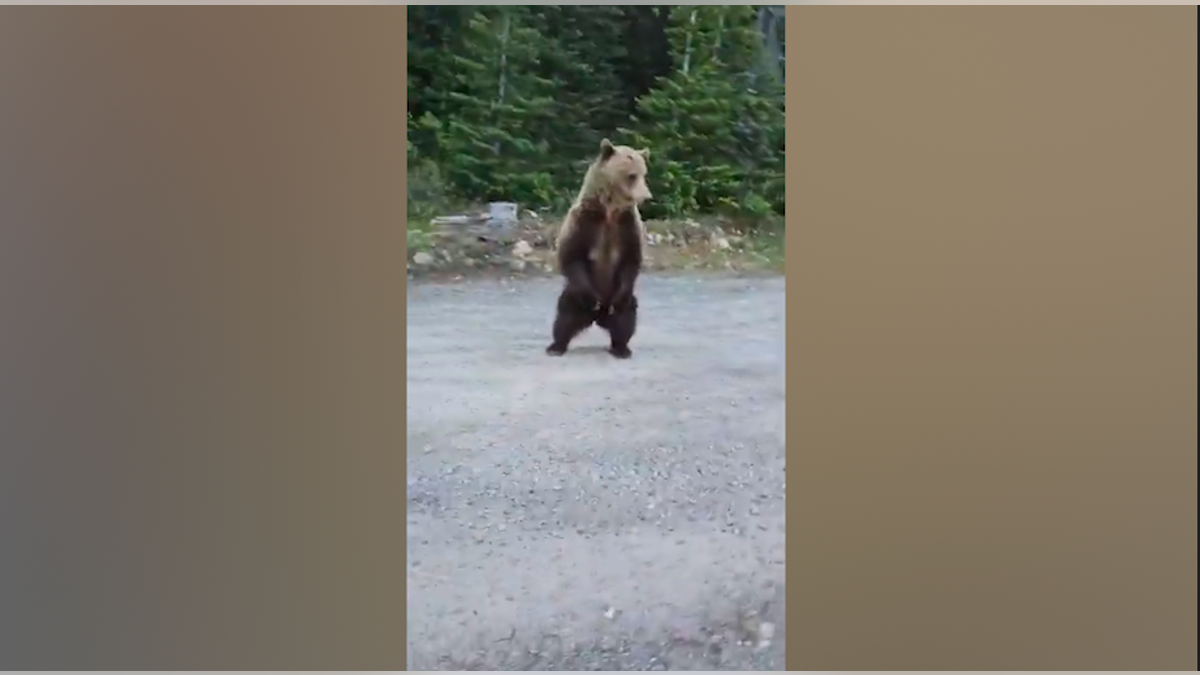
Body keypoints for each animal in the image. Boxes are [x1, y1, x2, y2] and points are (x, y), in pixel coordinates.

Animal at [545, 138, 652, 359]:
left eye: (644, 173)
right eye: (632, 175)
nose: (647, 196)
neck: (610, 210)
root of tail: (597, 318)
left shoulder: (627, 225)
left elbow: (631, 258)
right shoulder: (585, 220)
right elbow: (572, 254)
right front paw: (591, 298)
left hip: (621, 301)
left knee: (626, 318)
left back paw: (621, 348)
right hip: (573, 296)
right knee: (564, 316)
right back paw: (556, 346)